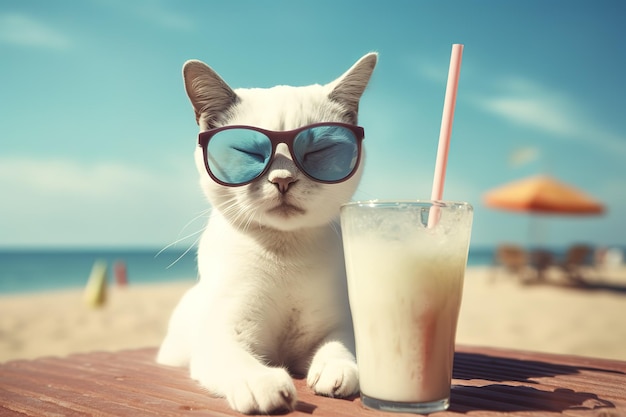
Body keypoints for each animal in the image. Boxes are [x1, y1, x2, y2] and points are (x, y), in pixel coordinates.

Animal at [157, 52, 376, 412]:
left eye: (316, 152)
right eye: (249, 152)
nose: (283, 179)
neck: (286, 254)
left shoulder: (337, 324)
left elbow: (340, 346)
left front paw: (336, 371)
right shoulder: (224, 332)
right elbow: (240, 361)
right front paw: (264, 385)